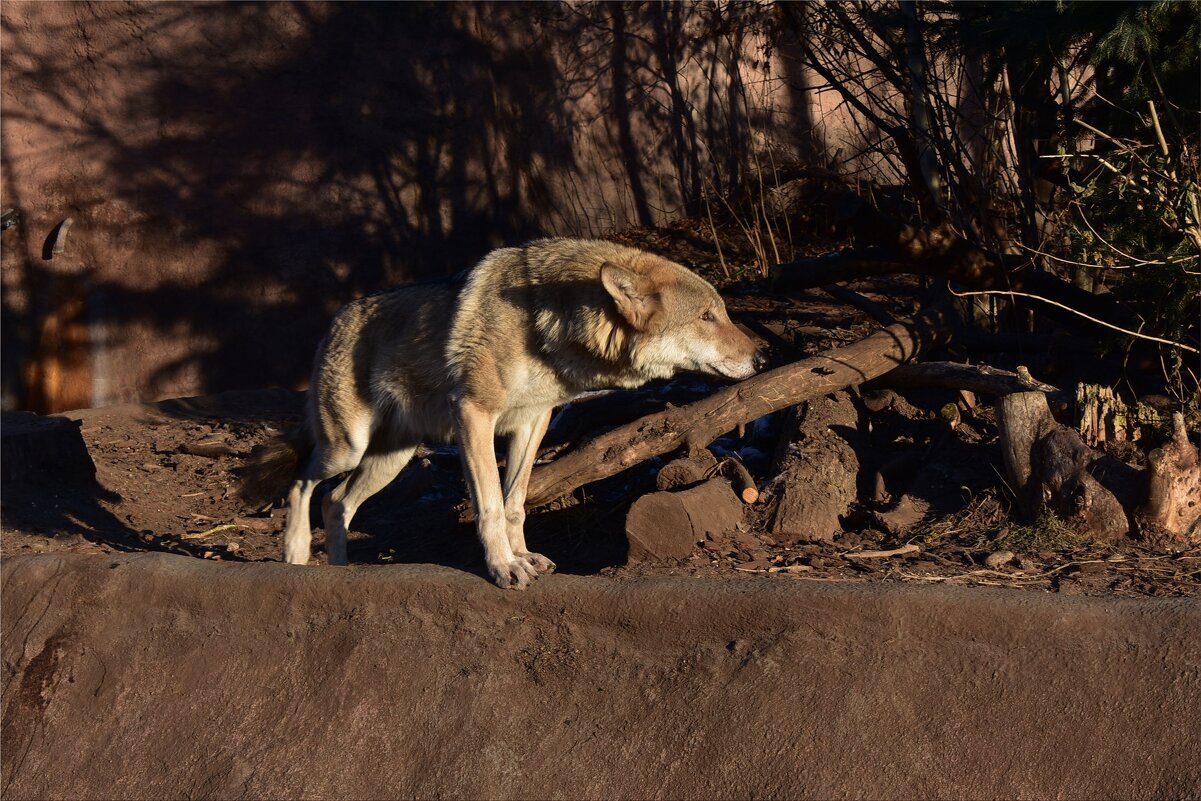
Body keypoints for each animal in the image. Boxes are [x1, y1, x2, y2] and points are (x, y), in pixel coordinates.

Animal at [240, 237, 763, 588]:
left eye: (721, 312)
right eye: (707, 317)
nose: (761, 358)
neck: (545, 320)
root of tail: (335, 320)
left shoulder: (533, 422)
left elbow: (515, 504)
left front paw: (524, 556)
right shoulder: (475, 415)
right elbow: (490, 504)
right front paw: (503, 566)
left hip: (392, 460)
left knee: (336, 502)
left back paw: (342, 571)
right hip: (347, 447)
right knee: (301, 482)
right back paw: (296, 552)